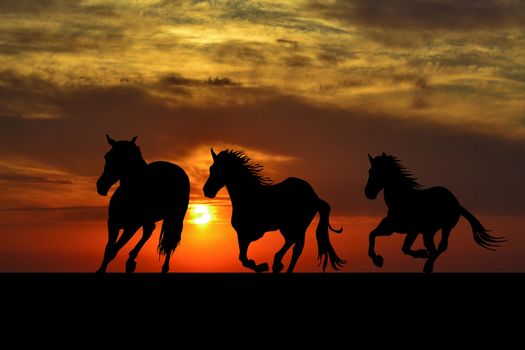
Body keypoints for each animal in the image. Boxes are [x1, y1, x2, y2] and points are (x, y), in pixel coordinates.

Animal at [96, 135, 190, 274]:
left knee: (168, 242)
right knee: (149, 230)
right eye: (107, 156)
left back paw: (162, 268)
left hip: (174, 218)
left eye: (124, 159)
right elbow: (108, 249)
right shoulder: (113, 222)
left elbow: (113, 251)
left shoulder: (132, 227)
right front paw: (100, 270)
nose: (101, 186)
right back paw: (131, 259)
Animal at [202, 148, 344, 274]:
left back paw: (277, 263)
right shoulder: (244, 235)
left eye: (219, 170)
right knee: (295, 246)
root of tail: (314, 197)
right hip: (292, 228)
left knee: (294, 245)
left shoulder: (244, 234)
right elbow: (242, 258)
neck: (248, 196)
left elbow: (243, 259)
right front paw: (262, 265)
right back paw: (280, 266)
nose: (206, 190)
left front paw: (262, 266)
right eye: (211, 169)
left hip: (293, 226)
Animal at [364, 153, 504, 274]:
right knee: (438, 247)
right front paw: (378, 260)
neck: (401, 199)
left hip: (438, 229)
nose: (368, 193)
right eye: (370, 171)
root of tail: (456, 203)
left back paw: (427, 265)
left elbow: (404, 248)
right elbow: (372, 235)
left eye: (376, 172)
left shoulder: (411, 230)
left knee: (437, 247)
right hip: (436, 230)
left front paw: (421, 253)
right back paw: (428, 264)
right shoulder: (392, 228)